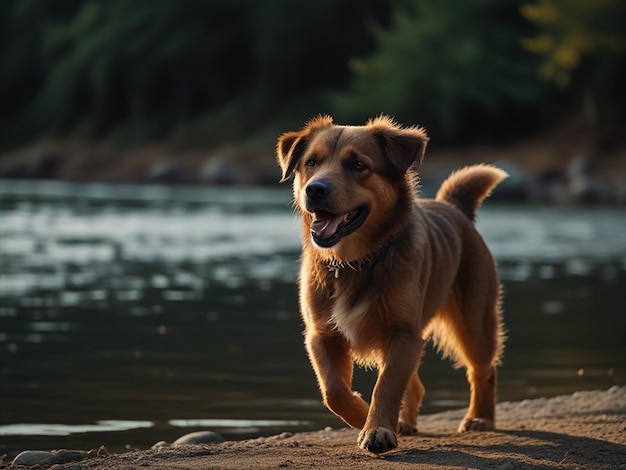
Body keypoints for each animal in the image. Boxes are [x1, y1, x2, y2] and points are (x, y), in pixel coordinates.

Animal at [276, 115, 504, 454]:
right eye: (311, 163)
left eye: (358, 165)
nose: (314, 189)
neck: (355, 261)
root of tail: (454, 208)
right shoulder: (321, 334)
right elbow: (334, 391)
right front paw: (364, 416)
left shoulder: (403, 332)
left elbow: (386, 385)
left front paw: (377, 428)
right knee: (416, 384)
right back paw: (406, 421)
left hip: (473, 321)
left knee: (482, 371)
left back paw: (480, 418)